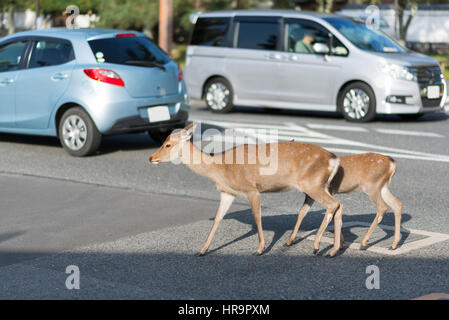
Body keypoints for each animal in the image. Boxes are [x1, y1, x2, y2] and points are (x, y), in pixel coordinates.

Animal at [150, 122, 344, 258]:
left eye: (167, 145)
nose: (151, 157)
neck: (219, 167)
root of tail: (334, 159)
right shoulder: (227, 192)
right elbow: (218, 218)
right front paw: (202, 250)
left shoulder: (250, 188)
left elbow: (256, 216)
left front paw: (259, 249)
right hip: (320, 185)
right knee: (335, 206)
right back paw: (332, 248)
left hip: (312, 183)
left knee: (332, 205)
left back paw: (317, 246)